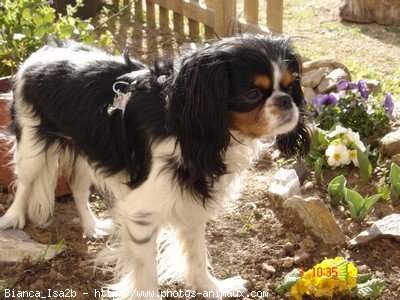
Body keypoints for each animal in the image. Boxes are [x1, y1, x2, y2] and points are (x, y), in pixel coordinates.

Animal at [0, 35, 310, 298]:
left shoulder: (191, 202)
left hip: (90, 148)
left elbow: (197, 256)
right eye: (252, 94)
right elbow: (148, 275)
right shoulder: (142, 213)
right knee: (24, 183)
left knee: (77, 186)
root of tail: (46, 48)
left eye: (290, 85)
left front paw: (212, 289)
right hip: (31, 145)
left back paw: (91, 226)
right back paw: (13, 218)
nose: (286, 101)